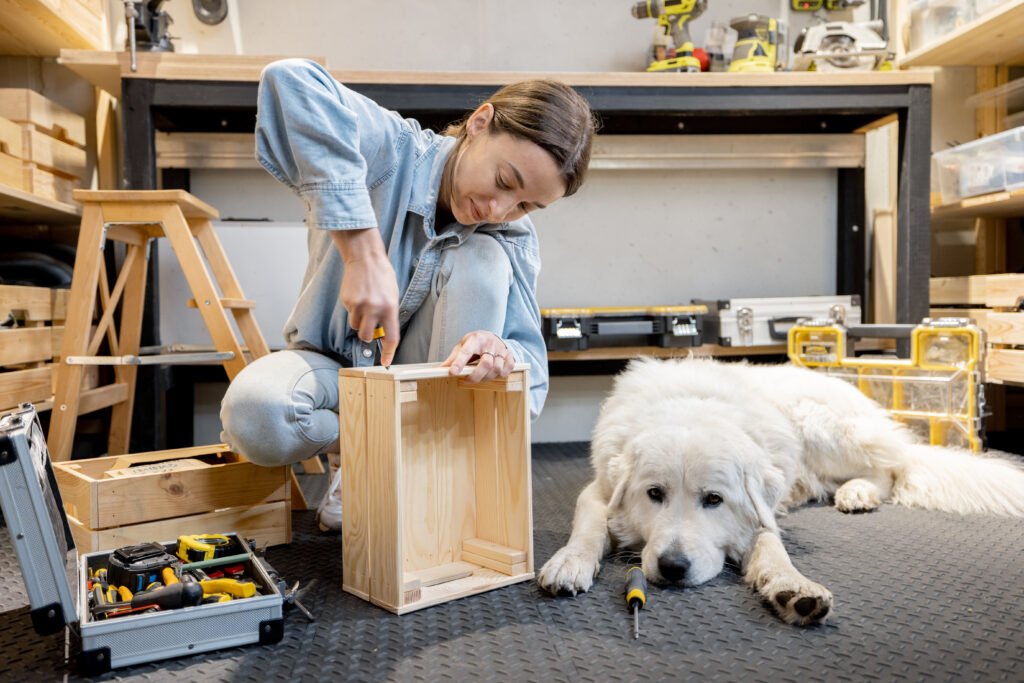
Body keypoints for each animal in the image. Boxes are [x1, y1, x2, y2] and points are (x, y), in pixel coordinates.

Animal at [536, 358, 1024, 626]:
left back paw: (858, 493)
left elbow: (772, 546)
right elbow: (588, 527)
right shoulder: (599, 492)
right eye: (654, 494)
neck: (693, 405)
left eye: (713, 500)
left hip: (825, 428)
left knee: (891, 468)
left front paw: (793, 588)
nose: (673, 567)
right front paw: (569, 563)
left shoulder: (760, 511)